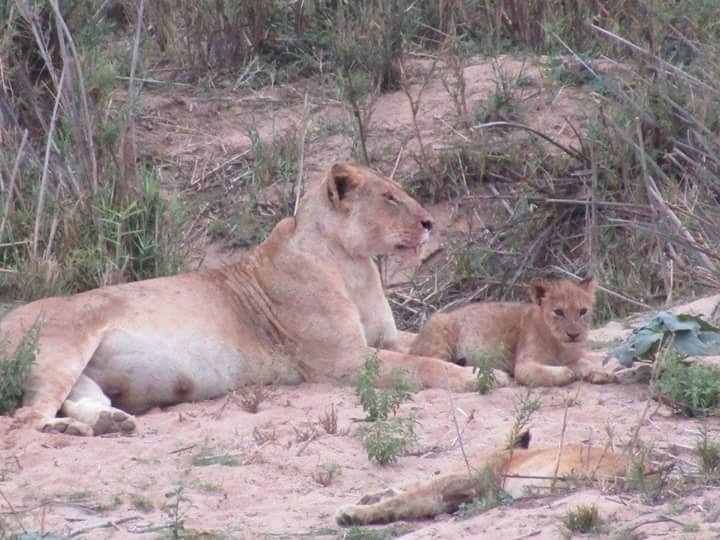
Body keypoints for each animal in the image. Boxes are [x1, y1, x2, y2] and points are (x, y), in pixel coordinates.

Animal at [1, 162, 478, 436]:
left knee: (78, 400)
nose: (430, 222)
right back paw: (68, 432)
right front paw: (473, 377)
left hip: (84, 374)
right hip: (62, 348)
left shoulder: (385, 337)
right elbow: (423, 366)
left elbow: (428, 337)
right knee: (25, 418)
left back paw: (109, 423)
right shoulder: (343, 361)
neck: (353, 264)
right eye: (389, 197)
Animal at [410, 277, 615, 387]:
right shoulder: (524, 365)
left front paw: (601, 373)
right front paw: (569, 373)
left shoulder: (575, 356)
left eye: (583, 311)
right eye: (558, 312)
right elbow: (558, 372)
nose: (574, 334)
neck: (559, 345)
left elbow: (586, 363)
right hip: (440, 331)